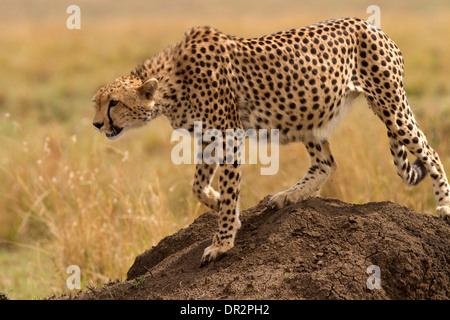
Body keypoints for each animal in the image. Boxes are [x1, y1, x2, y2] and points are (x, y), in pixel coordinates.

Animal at [92, 18, 450, 264]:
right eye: (97, 103)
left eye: (114, 103)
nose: (97, 124)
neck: (172, 82)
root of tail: (371, 25)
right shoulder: (208, 136)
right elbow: (198, 186)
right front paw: (225, 211)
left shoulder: (229, 135)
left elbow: (228, 187)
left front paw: (221, 242)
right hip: (308, 113)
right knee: (326, 164)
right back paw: (288, 196)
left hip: (390, 107)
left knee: (430, 151)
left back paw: (444, 206)